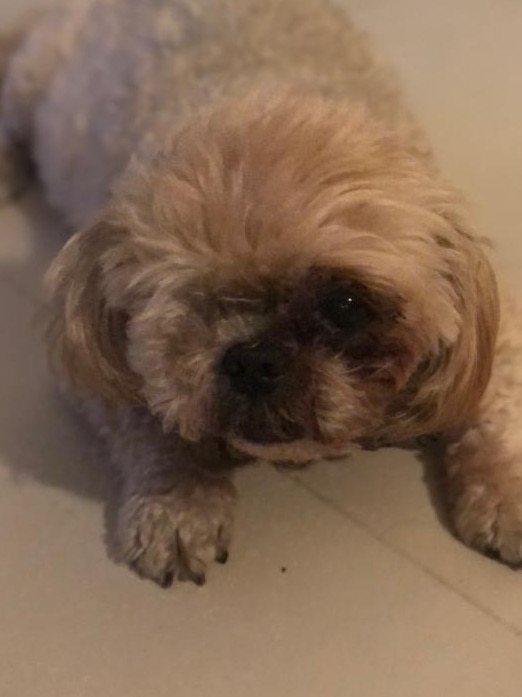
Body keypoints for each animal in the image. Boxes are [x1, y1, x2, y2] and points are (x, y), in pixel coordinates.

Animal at [1, 0, 516, 588]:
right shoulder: (96, 370)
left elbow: (496, 413)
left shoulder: (496, 325)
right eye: (189, 308)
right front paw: (180, 499)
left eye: (346, 306)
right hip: (34, 77)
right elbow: (156, 426)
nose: (253, 359)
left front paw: (505, 489)